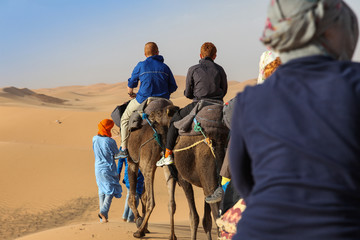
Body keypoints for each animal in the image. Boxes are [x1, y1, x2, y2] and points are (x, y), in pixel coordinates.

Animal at [126, 102, 228, 239]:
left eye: (159, 113)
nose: (148, 115)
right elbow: (206, 220)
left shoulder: (183, 178)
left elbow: (194, 216)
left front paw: (139, 223)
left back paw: (139, 230)